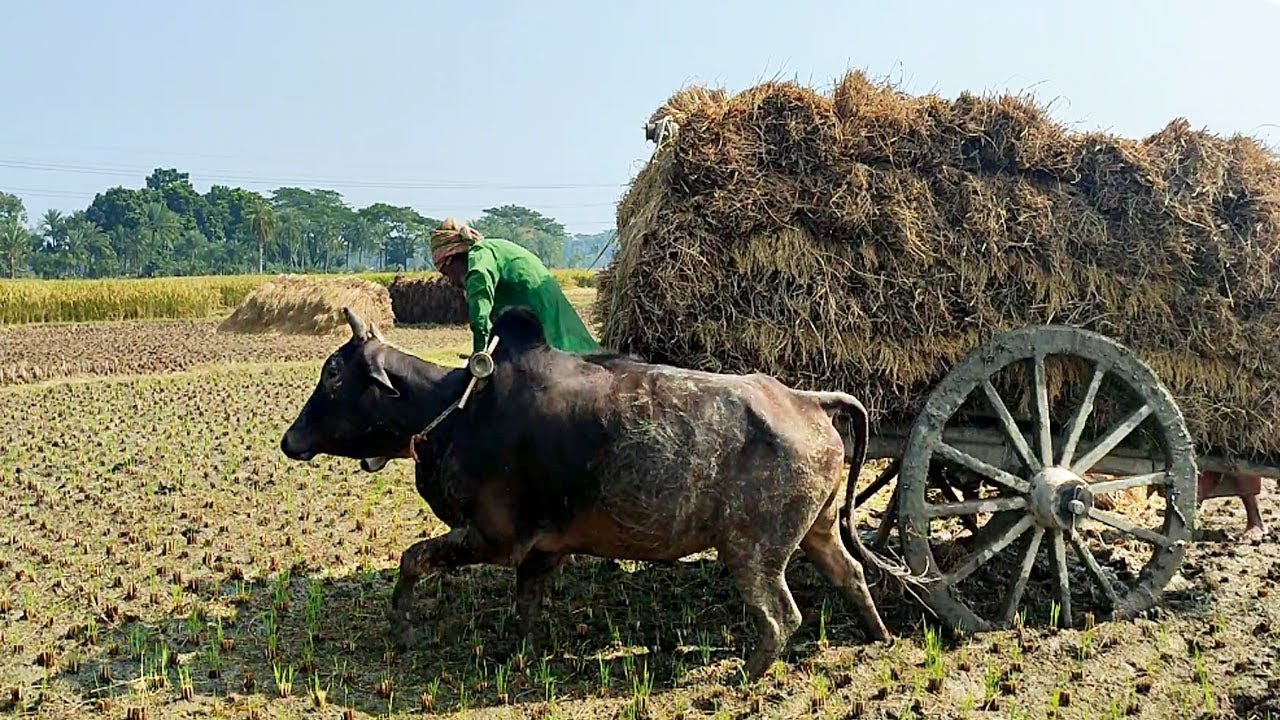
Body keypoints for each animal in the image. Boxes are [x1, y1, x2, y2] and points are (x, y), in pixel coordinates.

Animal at [280, 306, 912, 678]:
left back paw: (743, 674)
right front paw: (523, 651)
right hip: (817, 530)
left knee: (781, 617)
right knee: (852, 575)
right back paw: (877, 637)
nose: (289, 441)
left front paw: (403, 627)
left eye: (333, 372)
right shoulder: (541, 549)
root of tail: (808, 400)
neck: (454, 412)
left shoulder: (493, 537)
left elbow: (412, 561)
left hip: (752, 551)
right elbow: (527, 604)